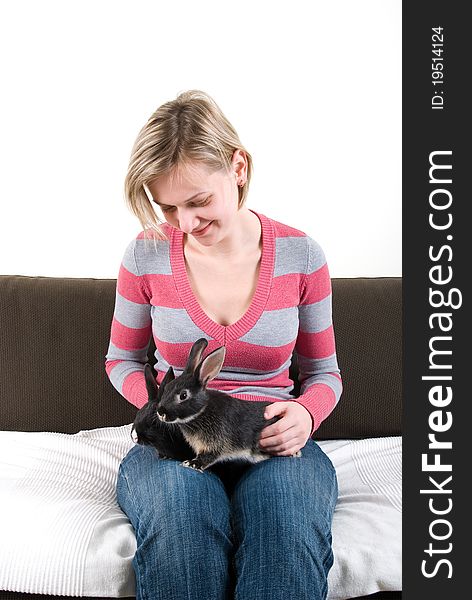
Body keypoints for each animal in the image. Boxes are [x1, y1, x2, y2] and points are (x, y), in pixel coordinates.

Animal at [131, 338, 300, 474]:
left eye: (183, 395)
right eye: (166, 389)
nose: (161, 412)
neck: (201, 412)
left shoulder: (216, 442)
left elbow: (209, 456)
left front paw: (191, 464)